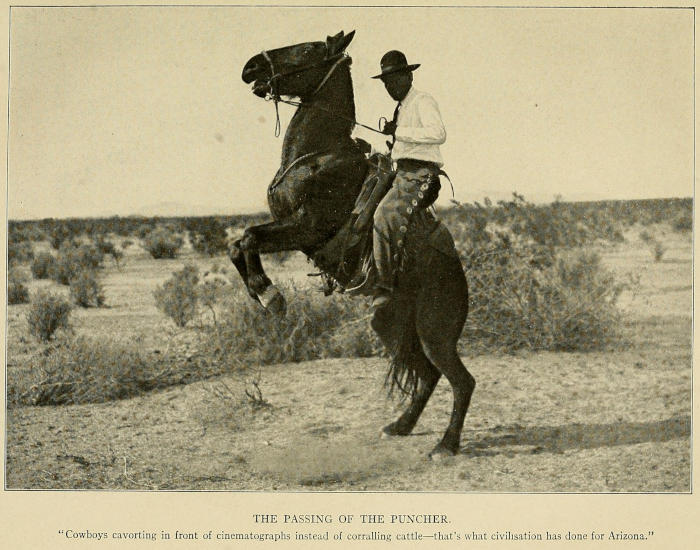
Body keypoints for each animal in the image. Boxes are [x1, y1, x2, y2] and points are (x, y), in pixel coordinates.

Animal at [233, 30, 475, 457]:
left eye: (308, 49)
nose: (251, 67)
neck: (320, 155)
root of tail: (459, 277)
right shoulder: (290, 227)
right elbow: (236, 245)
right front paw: (260, 293)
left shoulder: (307, 228)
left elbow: (250, 237)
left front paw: (269, 295)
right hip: (392, 324)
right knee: (427, 374)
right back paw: (400, 425)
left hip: (435, 331)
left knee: (461, 381)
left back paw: (446, 445)